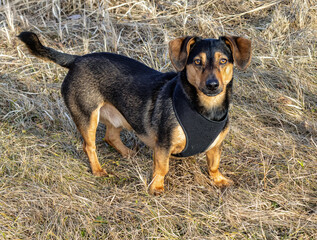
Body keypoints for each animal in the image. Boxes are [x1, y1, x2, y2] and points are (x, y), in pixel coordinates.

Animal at [18, 31, 251, 195]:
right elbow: (162, 167)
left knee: (110, 136)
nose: (212, 85)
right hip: (88, 116)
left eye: (223, 61)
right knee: (89, 145)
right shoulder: (163, 145)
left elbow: (214, 164)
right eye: (197, 62)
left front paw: (219, 180)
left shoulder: (216, 145)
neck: (205, 108)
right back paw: (98, 170)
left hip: (117, 117)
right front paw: (156, 188)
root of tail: (77, 59)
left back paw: (129, 153)